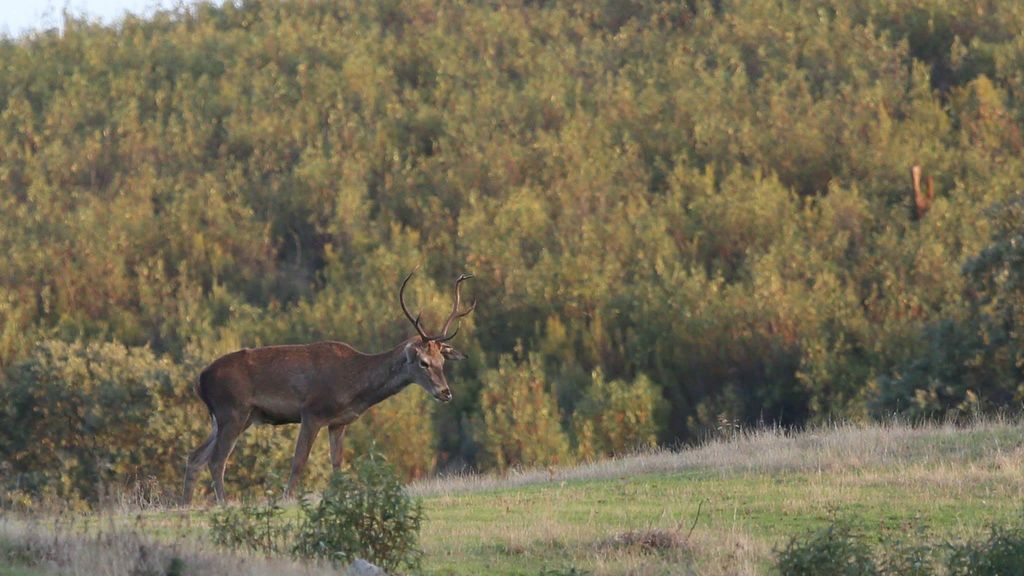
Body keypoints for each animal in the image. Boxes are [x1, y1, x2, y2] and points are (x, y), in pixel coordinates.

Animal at [182, 268, 473, 502]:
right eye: (423, 362)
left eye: (442, 361)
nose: (445, 393)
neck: (354, 386)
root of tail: (200, 380)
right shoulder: (312, 412)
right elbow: (299, 461)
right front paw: (288, 499)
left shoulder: (338, 422)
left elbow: (337, 465)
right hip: (232, 411)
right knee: (216, 460)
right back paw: (223, 503)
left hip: (227, 418)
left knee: (195, 457)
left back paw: (185, 506)